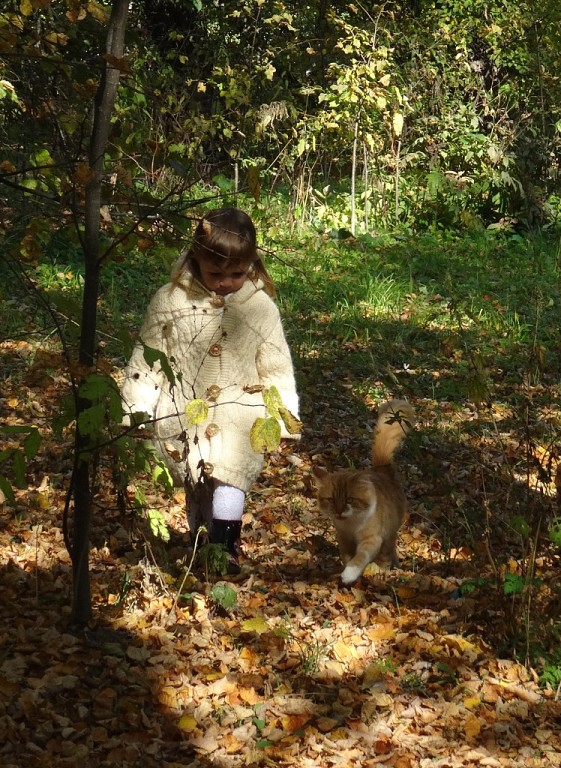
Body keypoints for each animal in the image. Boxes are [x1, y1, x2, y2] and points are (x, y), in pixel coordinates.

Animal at [310, 400, 416, 584]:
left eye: (349, 499)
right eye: (331, 500)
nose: (339, 511)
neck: (351, 525)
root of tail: (382, 468)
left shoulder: (371, 539)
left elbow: (359, 558)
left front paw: (349, 575)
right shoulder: (344, 539)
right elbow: (347, 558)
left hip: (389, 533)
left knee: (388, 550)